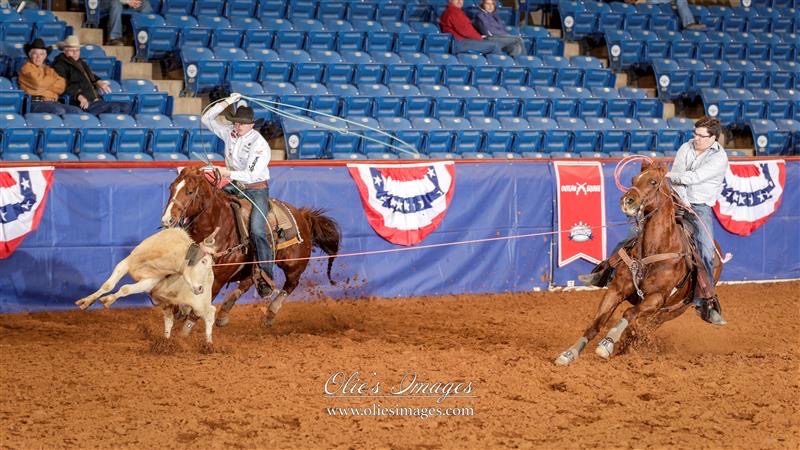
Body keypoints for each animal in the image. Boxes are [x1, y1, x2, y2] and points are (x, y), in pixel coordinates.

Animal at [161, 165, 340, 326]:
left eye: (190, 192)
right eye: (171, 187)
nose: (167, 219)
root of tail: (302, 215)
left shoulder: (218, 278)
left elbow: (198, 310)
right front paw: (180, 311)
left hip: (293, 265)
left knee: (291, 284)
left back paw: (270, 313)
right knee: (248, 282)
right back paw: (224, 313)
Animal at [552, 161, 720, 366]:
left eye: (653, 181)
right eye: (633, 180)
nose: (627, 200)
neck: (655, 249)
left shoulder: (656, 298)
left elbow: (629, 313)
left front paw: (607, 344)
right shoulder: (616, 290)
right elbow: (596, 324)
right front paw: (569, 354)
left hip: (672, 311)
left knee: (641, 328)